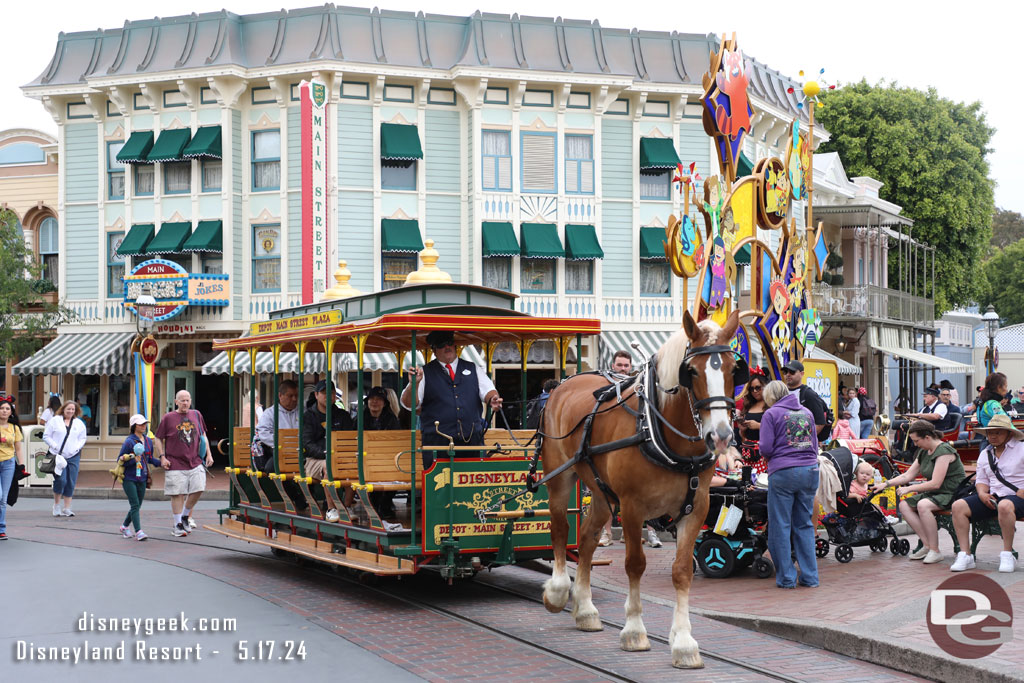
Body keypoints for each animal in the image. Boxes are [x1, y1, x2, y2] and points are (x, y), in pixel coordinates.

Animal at [540, 309, 741, 667]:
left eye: (733, 368)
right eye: (691, 371)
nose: (721, 436)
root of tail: (568, 381)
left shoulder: (697, 508)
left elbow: (682, 571)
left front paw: (684, 643)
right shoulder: (633, 507)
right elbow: (635, 565)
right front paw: (634, 631)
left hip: (601, 493)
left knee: (587, 539)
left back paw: (586, 609)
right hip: (560, 477)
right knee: (561, 528)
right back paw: (559, 591)